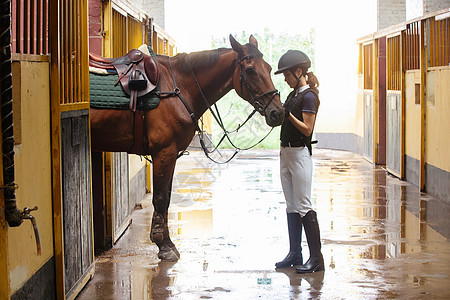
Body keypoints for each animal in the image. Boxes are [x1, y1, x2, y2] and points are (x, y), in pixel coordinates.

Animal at [89, 34, 284, 260]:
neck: (180, 87)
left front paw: (167, 242)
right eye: (251, 70)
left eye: (269, 68)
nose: (278, 112)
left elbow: (166, 198)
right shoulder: (164, 153)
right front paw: (163, 246)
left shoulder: (170, 155)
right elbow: (161, 198)